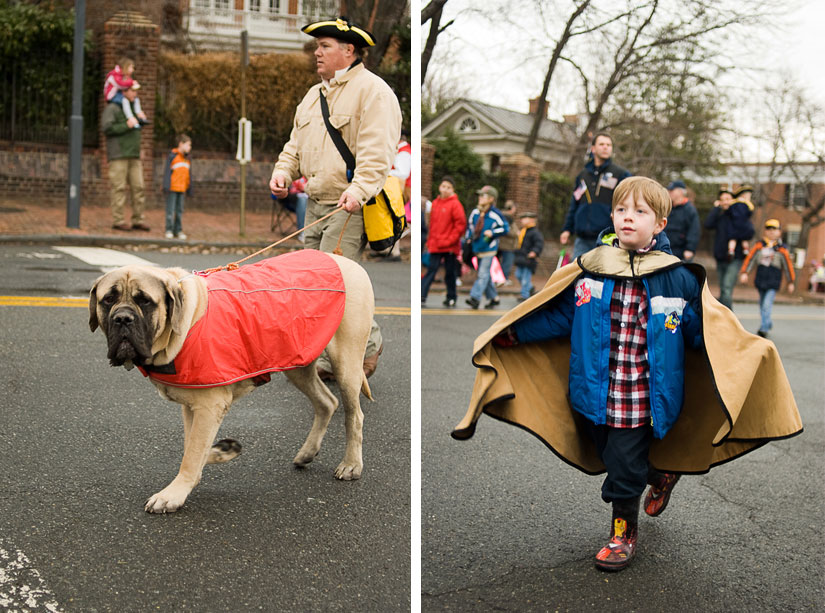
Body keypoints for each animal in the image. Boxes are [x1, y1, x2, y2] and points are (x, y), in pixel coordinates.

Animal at [89, 249, 374, 512]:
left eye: (145, 301)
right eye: (108, 299)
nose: (123, 318)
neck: (186, 320)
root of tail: (344, 260)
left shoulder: (209, 405)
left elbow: (192, 454)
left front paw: (173, 494)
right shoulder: (192, 405)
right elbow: (193, 447)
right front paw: (222, 451)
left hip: (346, 360)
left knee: (354, 415)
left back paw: (351, 464)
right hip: (297, 360)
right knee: (326, 402)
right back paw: (307, 453)